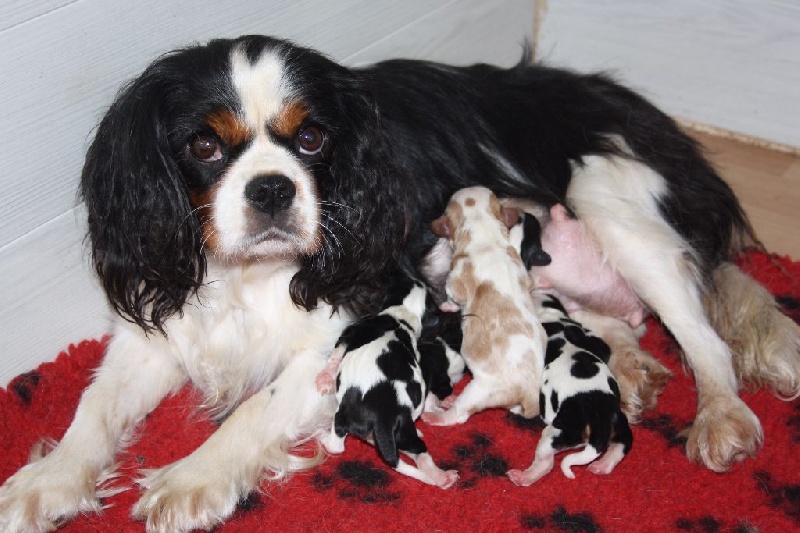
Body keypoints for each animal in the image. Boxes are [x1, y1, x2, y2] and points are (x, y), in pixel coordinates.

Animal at [318, 276, 460, 488]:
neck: (400, 316)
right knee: (418, 452)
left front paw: (326, 377)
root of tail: (381, 418)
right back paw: (441, 477)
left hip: (349, 418)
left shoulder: (350, 331)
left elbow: (336, 353)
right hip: (399, 431)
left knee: (337, 446)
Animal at [422, 185, 548, 426]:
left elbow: (454, 296)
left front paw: (448, 306)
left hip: (479, 390)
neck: (485, 233)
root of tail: (529, 392)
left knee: (460, 415)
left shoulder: (456, 279)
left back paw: (437, 415)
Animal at [506, 290, 632, 486]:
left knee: (545, 463)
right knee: (622, 444)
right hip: (620, 424)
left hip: (555, 433)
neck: (554, 318)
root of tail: (599, 420)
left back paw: (523, 477)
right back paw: (602, 465)